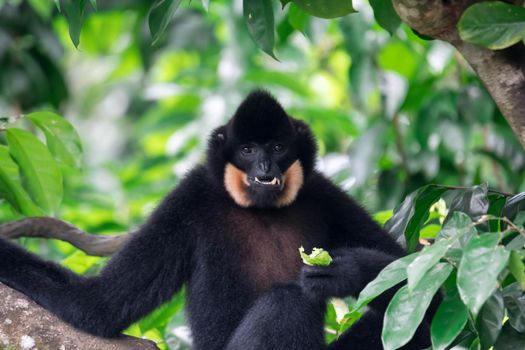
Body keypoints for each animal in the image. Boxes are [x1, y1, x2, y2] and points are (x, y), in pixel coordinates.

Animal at [0, 91, 432, 348]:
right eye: (248, 149)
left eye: (277, 147)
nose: (264, 167)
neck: (261, 210)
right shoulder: (190, 198)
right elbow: (99, 304)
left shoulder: (323, 194)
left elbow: (424, 287)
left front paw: (346, 270)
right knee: (287, 301)